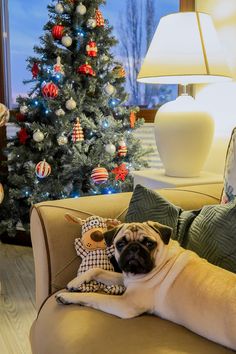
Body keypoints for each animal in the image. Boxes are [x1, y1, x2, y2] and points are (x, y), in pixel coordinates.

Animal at [56, 223, 236, 350]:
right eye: (120, 244)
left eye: (149, 244)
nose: (134, 247)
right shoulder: (126, 278)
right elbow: (96, 270)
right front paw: (75, 283)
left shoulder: (125, 304)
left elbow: (93, 296)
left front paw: (67, 296)